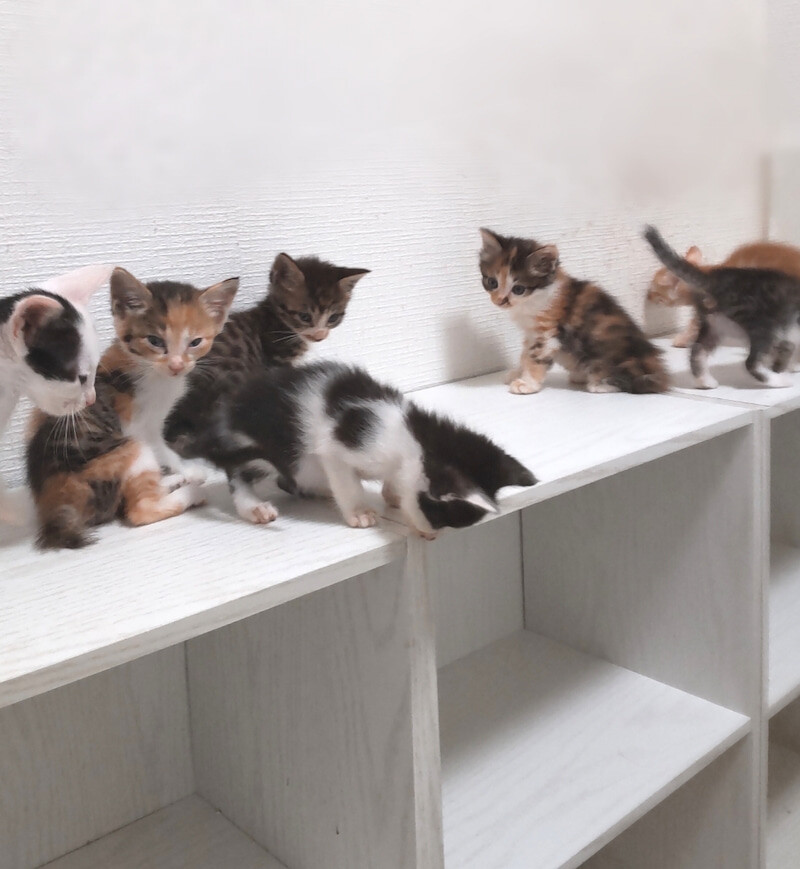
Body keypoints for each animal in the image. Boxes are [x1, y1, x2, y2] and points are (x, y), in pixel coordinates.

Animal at [26, 267, 238, 548]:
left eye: (195, 342)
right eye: (155, 341)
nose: (177, 366)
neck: (152, 371)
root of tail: (55, 507)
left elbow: (164, 448)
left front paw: (181, 471)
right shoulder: (139, 426)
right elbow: (162, 449)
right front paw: (183, 467)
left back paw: (174, 481)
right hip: (125, 449)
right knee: (140, 510)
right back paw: (190, 492)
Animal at [188, 360, 536, 537]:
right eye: (440, 517)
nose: (431, 533)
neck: (411, 433)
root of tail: (226, 410)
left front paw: (392, 493)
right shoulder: (335, 447)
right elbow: (345, 480)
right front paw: (358, 511)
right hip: (261, 446)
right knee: (238, 472)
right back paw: (254, 507)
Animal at [479, 228, 669, 395]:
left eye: (518, 289)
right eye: (492, 282)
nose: (500, 301)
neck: (532, 300)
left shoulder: (548, 333)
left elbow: (535, 358)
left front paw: (527, 383)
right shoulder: (532, 333)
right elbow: (525, 355)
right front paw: (517, 373)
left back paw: (599, 384)